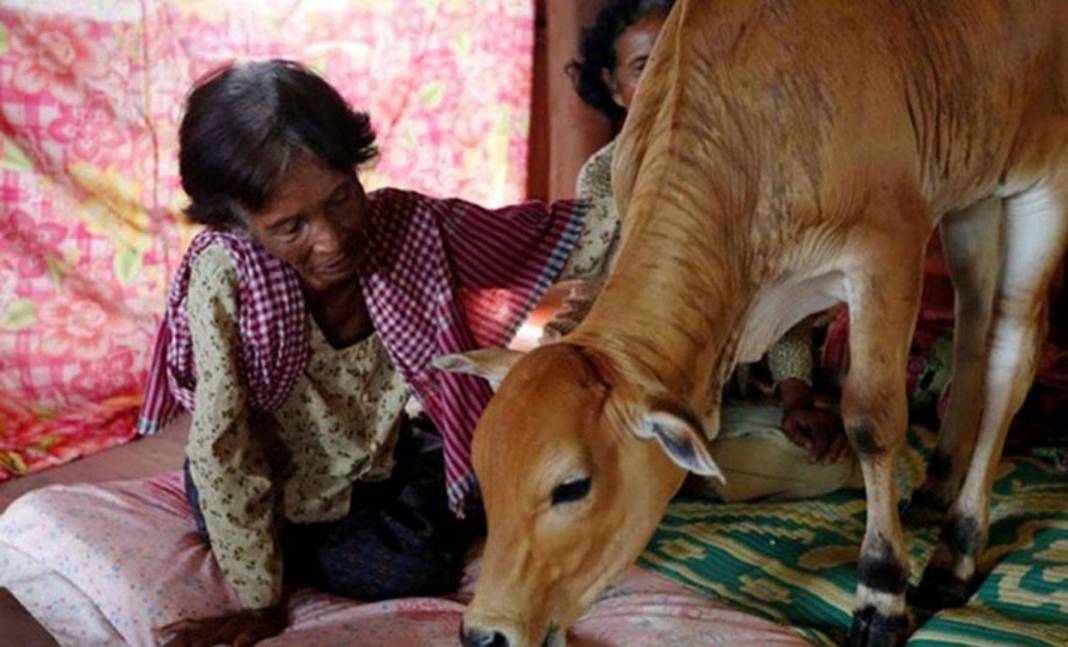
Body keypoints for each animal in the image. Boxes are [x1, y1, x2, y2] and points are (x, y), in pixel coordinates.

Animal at [437, 2, 1063, 644]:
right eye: (483, 472)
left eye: (571, 487)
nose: (484, 633)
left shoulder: (886, 253)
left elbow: (871, 421)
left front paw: (882, 592)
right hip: (972, 187)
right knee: (972, 326)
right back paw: (937, 487)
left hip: (1041, 181)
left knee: (1011, 355)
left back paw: (955, 553)